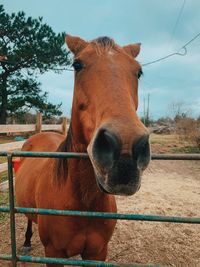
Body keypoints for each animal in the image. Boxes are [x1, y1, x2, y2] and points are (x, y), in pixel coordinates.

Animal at [15, 36, 150, 267]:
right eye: (77, 65)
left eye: (139, 72)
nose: (126, 151)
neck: (83, 203)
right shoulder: (54, 253)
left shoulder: (97, 253)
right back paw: (25, 242)